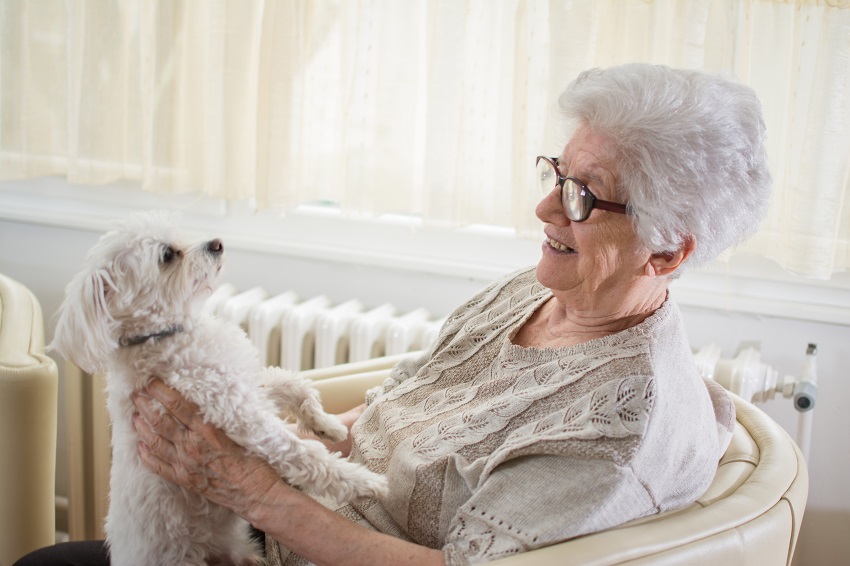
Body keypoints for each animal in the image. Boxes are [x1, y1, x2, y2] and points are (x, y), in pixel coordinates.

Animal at [49, 212, 388, 566]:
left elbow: (293, 384)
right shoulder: (239, 414)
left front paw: (327, 425)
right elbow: (305, 454)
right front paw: (366, 483)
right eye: (166, 255)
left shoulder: (247, 387)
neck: (172, 333)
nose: (217, 243)